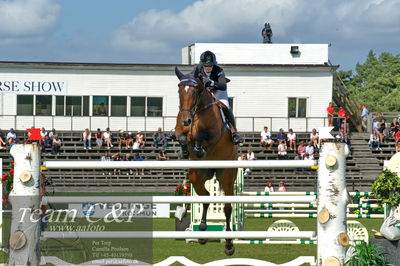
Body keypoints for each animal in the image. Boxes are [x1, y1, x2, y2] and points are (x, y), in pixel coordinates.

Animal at [174, 67, 238, 256]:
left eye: (196, 91)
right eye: (179, 91)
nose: (186, 119)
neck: (196, 112)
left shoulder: (214, 133)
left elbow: (201, 135)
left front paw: (198, 148)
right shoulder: (179, 130)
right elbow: (182, 137)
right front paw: (185, 150)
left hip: (226, 175)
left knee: (227, 207)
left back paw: (229, 244)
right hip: (197, 176)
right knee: (206, 197)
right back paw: (202, 232)